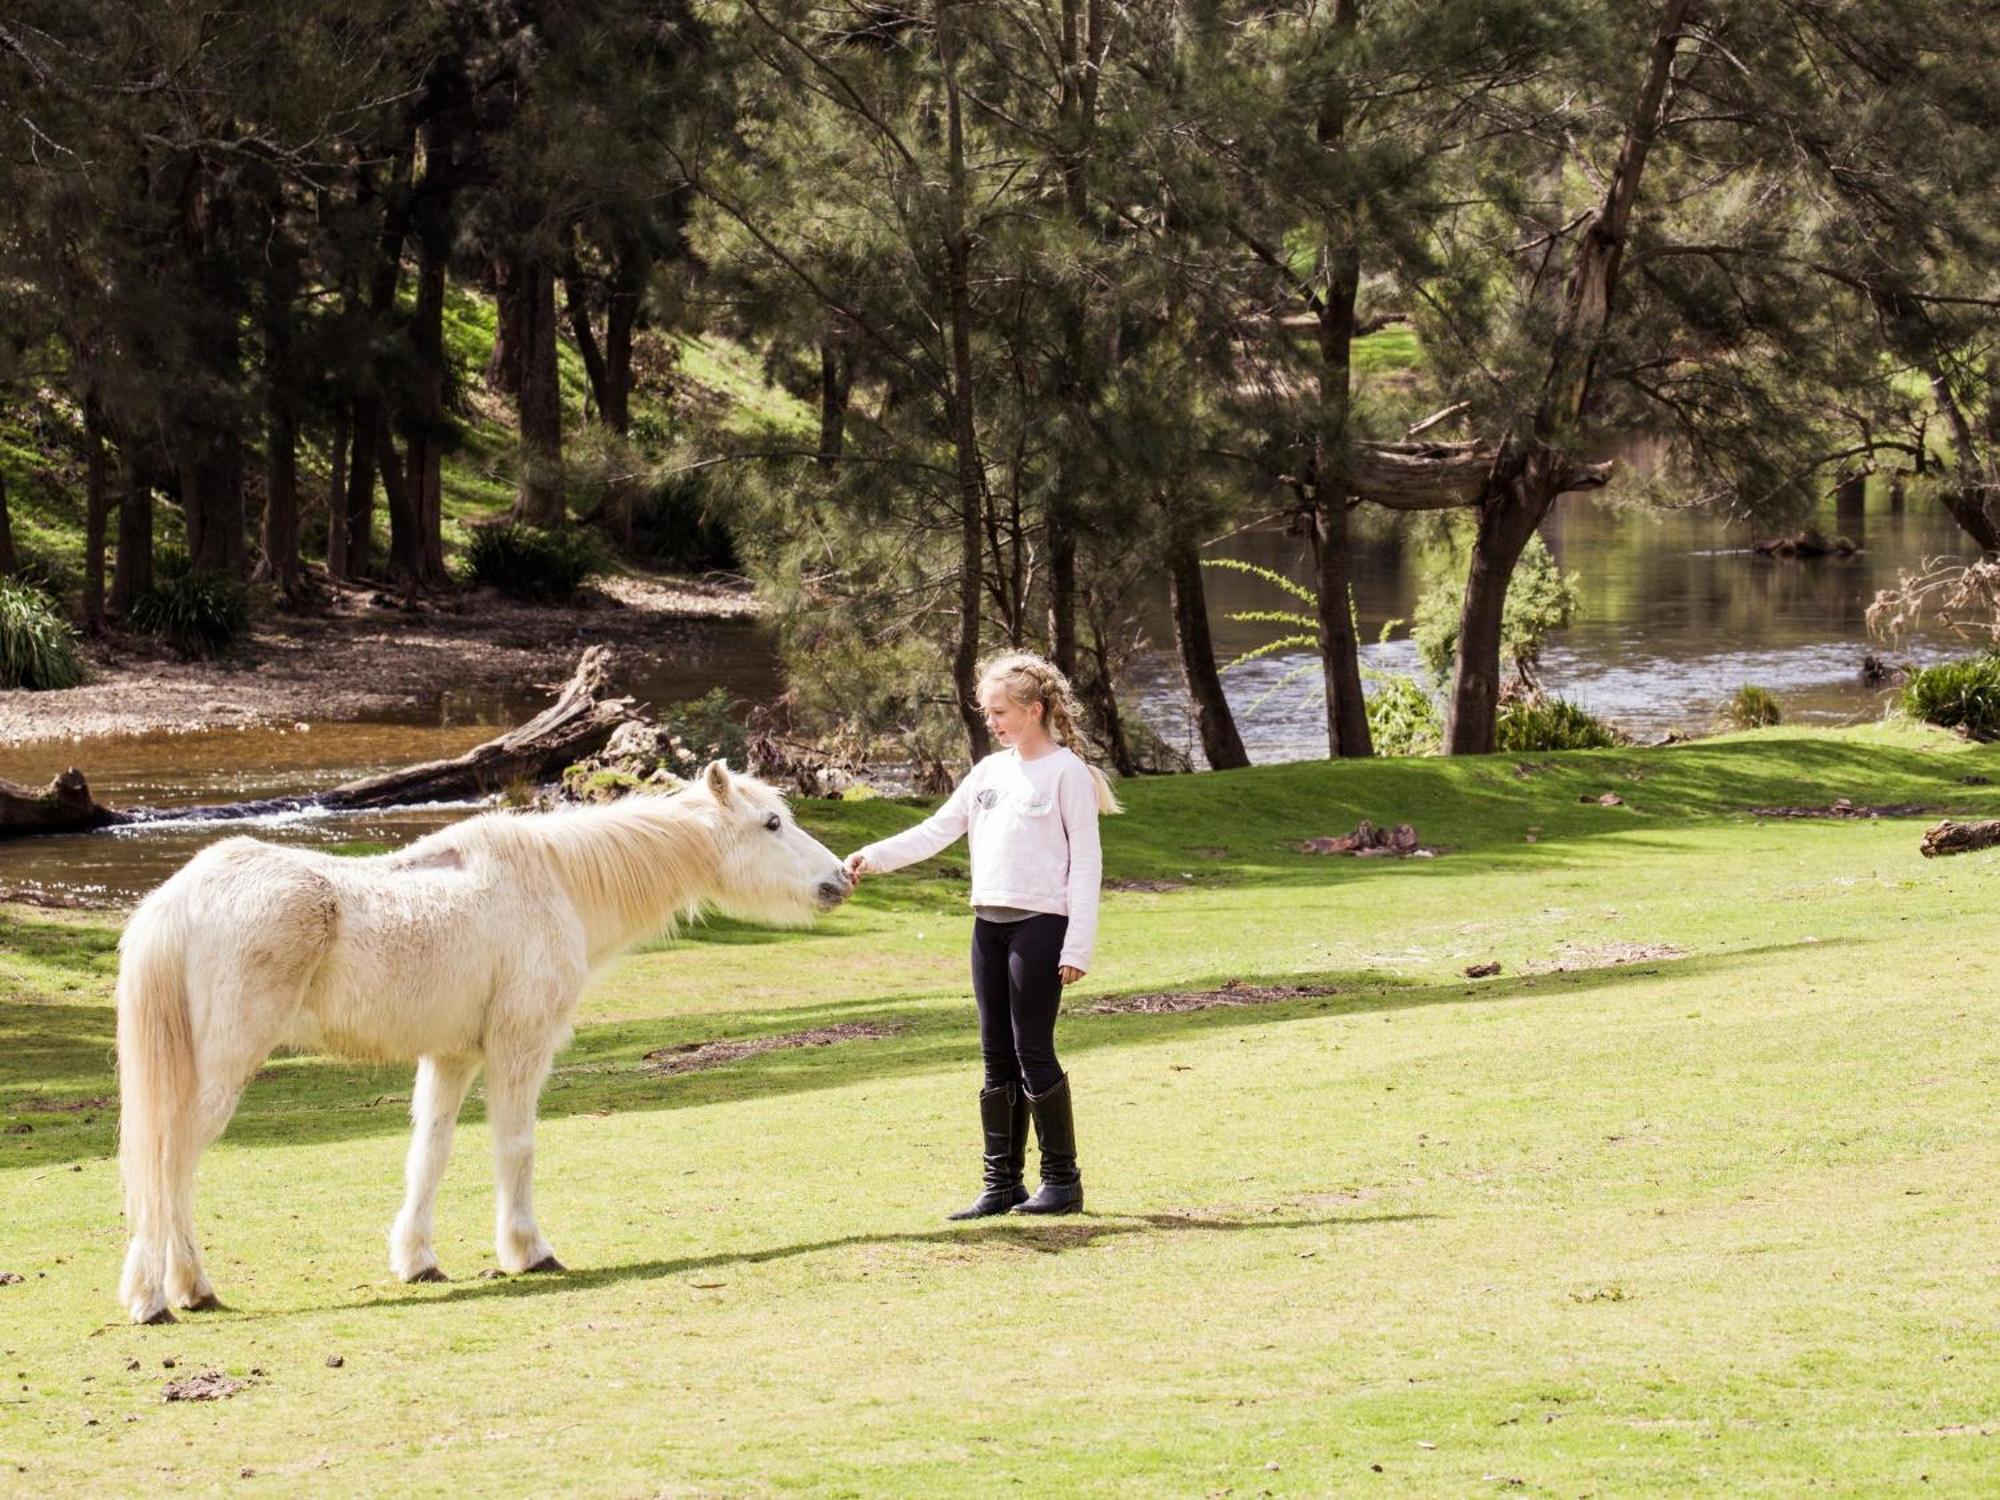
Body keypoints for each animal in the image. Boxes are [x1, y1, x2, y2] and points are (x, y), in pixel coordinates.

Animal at [115, 764, 852, 1328]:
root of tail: (178, 899)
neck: (557, 881)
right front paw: (528, 1251)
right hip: (224, 1069)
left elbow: (429, 1157)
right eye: (772, 824)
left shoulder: (452, 1058)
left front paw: (418, 1262)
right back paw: (163, 1295)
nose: (842, 879)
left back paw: (186, 1289)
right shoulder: (519, 1048)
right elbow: (515, 1147)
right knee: (170, 1165)